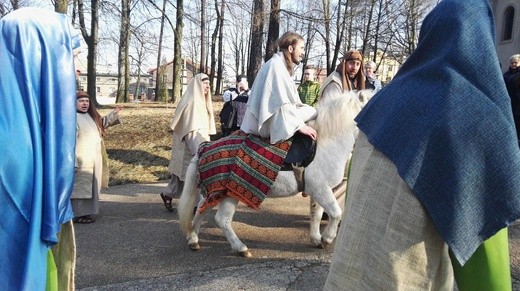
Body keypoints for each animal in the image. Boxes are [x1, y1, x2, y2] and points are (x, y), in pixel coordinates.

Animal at [179, 89, 374, 258]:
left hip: (216, 192)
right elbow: (336, 213)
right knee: (222, 219)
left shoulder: (317, 191)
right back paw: (240, 248)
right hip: (230, 194)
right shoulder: (321, 190)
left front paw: (317, 239)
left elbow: (317, 214)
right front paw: (327, 239)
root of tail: (204, 148)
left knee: (201, 210)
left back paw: (193, 239)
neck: (325, 142)